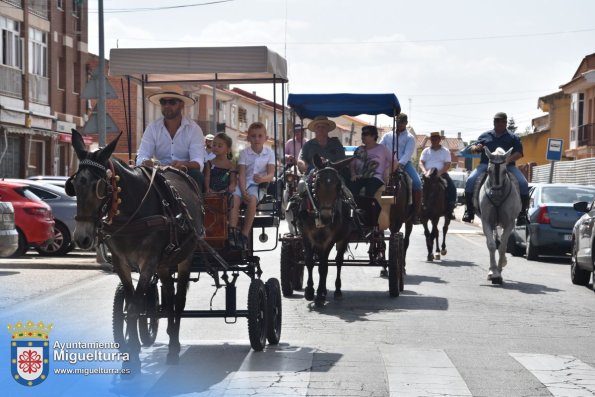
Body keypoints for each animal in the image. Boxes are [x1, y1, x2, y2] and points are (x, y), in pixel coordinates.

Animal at [66, 129, 204, 372]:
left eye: (98, 186)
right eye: (74, 185)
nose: (82, 237)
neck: (132, 214)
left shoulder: (148, 263)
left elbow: (133, 308)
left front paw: (135, 358)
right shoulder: (121, 263)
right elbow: (131, 304)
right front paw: (130, 351)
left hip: (185, 258)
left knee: (178, 300)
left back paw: (174, 347)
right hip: (165, 263)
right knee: (169, 295)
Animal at [296, 153, 354, 304]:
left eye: (338, 185)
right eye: (317, 182)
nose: (326, 216)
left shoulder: (329, 240)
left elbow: (323, 266)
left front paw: (320, 295)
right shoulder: (305, 235)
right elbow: (309, 262)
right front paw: (310, 291)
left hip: (344, 238)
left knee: (338, 262)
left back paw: (336, 290)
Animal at [480, 147, 520, 284]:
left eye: (505, 171)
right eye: (488, 171)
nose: (495, 193)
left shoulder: (509, 223)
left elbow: (502, 247)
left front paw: (499, 269)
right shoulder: (486, 221)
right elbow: (491, 245)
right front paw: (493, 272)